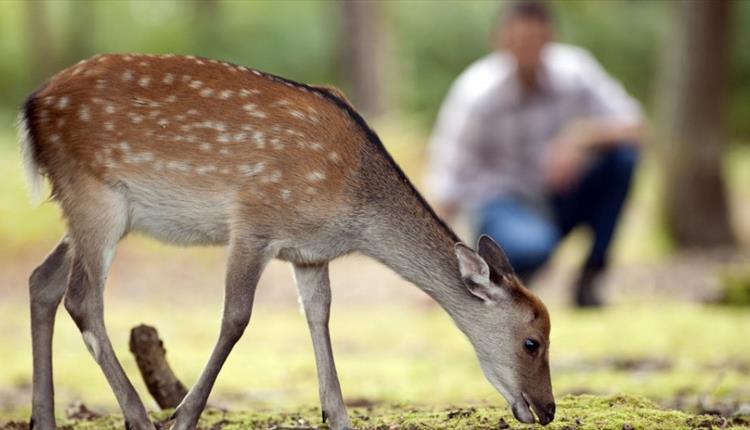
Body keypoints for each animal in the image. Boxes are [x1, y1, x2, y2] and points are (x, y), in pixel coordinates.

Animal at [17, 53, 556, 430]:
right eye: (532, 342)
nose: (547, 409)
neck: (354, 208)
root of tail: (32, 107)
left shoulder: (309, 253)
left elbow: (319, 315)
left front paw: (338, 415)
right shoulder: (254, 220)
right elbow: (236, 318)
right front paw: (185, 415)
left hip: (96, 209)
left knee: (42, 279)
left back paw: (44, 417)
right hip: (96, 194)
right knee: (82, 298)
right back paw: (137, 415)